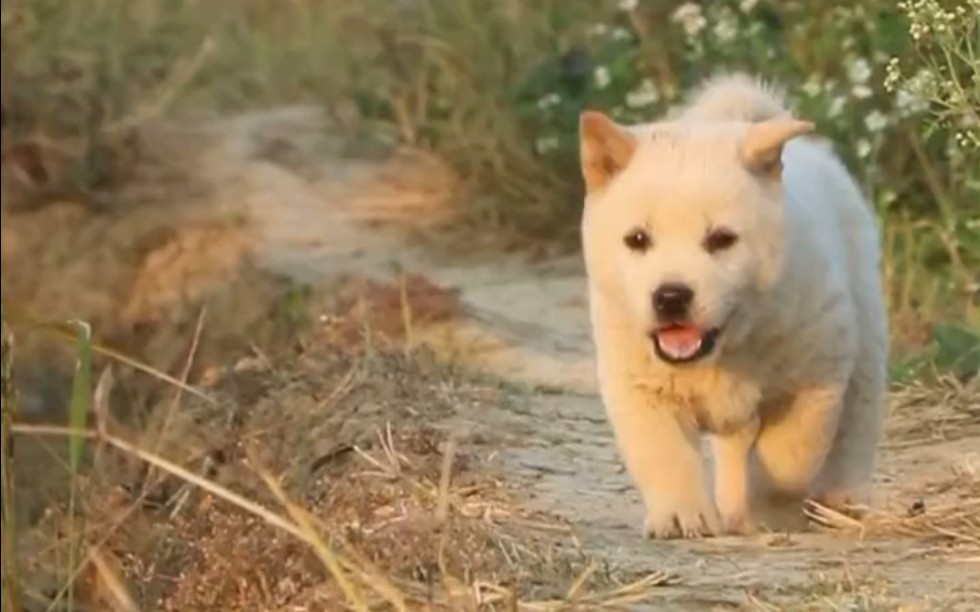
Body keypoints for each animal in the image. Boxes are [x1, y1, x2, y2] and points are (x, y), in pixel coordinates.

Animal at [580, 74, 892, 536]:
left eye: (721, 239)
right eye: (637, 239)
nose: (670, 296)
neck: (725, 349)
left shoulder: (815, 376)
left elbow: (789, 455)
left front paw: (765, 505)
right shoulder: (639, 384)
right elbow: (665, 455)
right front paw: (682, 516)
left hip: (865, 331)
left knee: (858, 422)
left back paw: (841, 501)